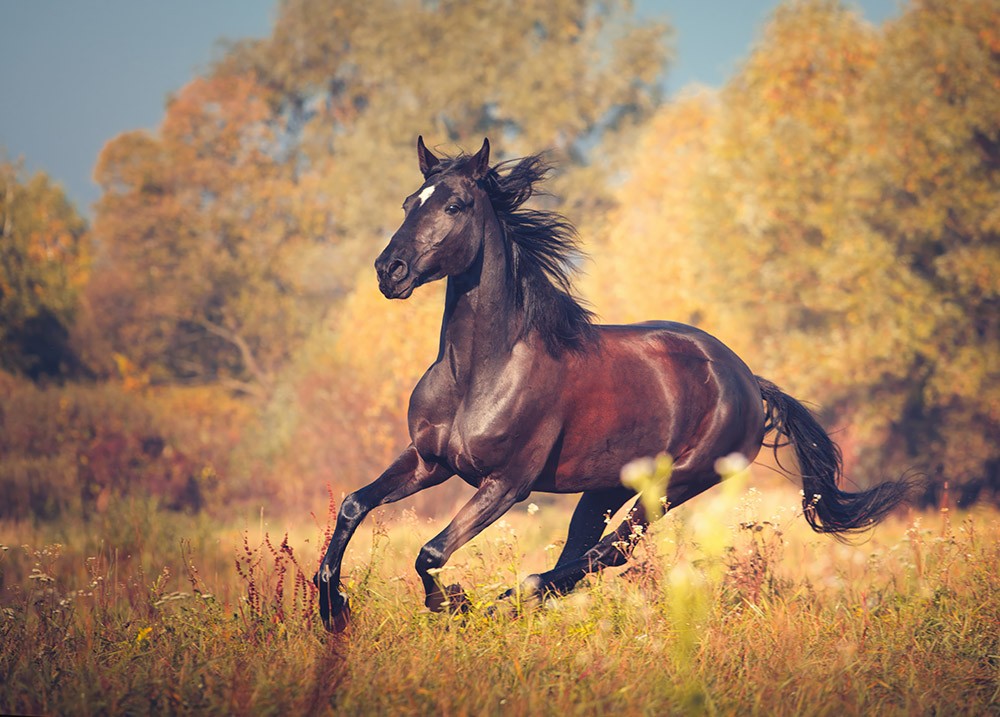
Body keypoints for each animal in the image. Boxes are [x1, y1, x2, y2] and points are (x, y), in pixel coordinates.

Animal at [314, 137, 916, 628]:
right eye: (408, 203)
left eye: (454, 205)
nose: (389, 270)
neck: (480, 372)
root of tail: (746, 378)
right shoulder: (428, 461)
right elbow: (353, 505)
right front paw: (333, 610)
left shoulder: (507, 482)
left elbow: (431, 553)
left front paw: (453, 603)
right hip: (604, 487)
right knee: (588, 552)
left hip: (675, 485)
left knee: (610, 552)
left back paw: (510, 599)